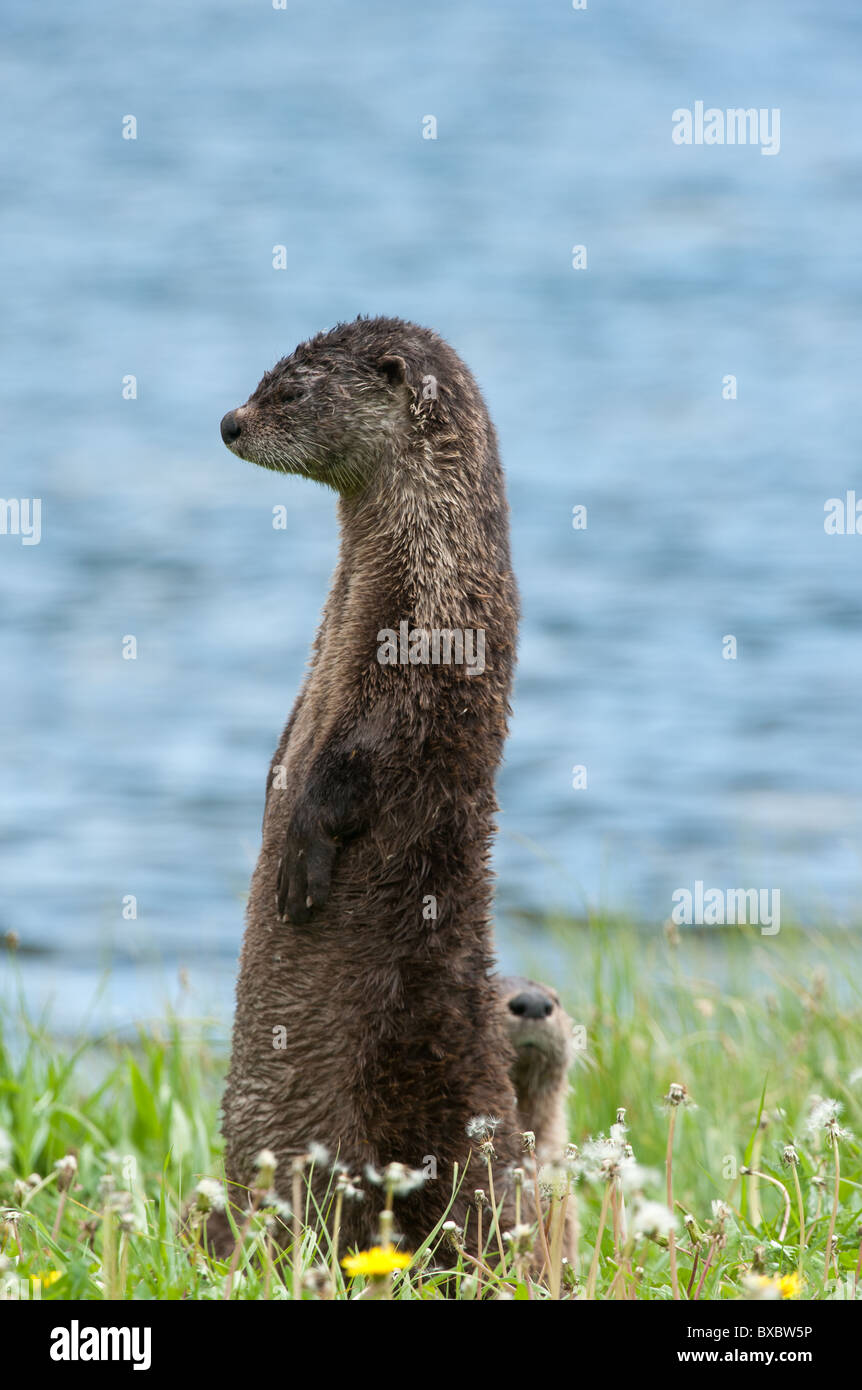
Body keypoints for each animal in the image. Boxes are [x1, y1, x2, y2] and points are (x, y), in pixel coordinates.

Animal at [215, 319, 525, 1256]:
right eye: (262, 377)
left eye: (289, 392)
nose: (229, 422)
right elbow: (289, 746)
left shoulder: (431, 648)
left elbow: (361, 766)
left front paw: (301, 856)